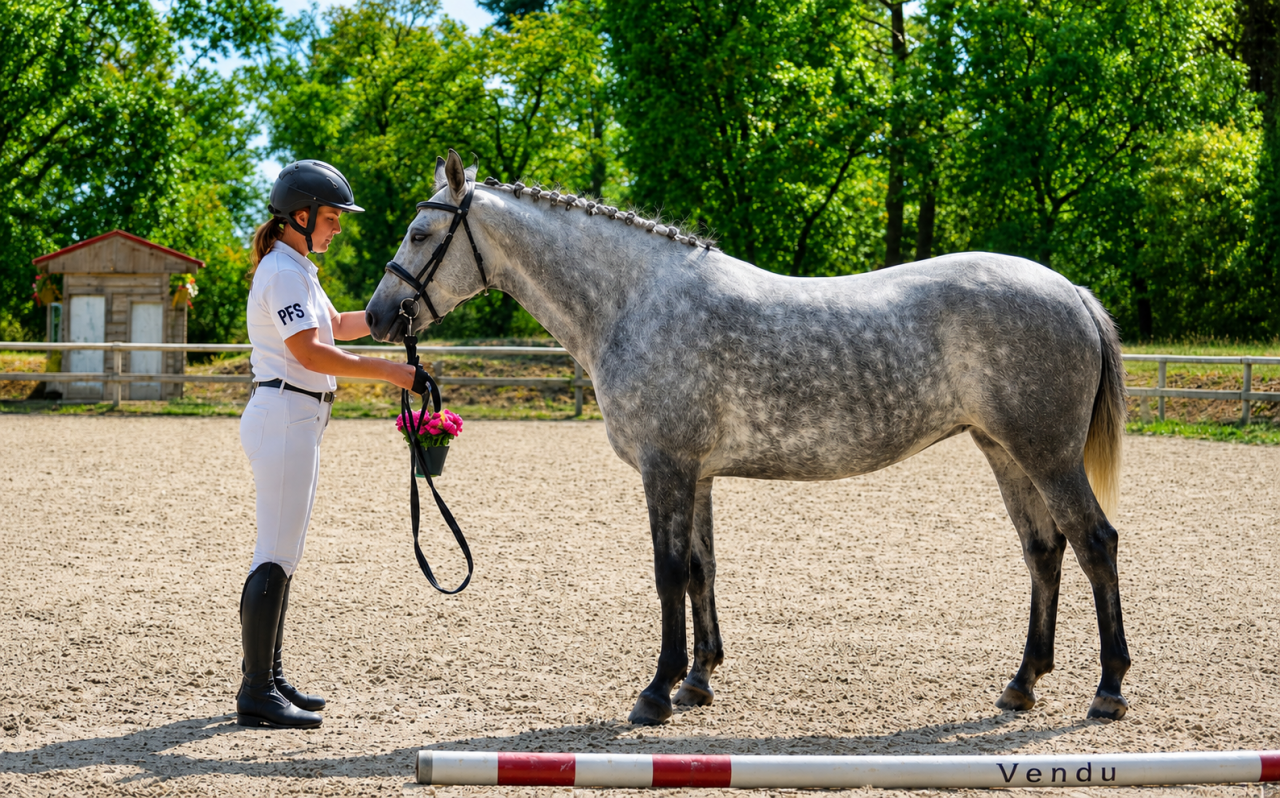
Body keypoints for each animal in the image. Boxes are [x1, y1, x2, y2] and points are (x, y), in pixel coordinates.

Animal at [364, 150, 1131, 726]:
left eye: (422, 235)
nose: (377, 314)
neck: (635, 302)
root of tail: (1072, 292)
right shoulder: (697, 473)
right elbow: (703, 569)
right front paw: (697, 682)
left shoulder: (665, 468)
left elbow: (668, 573)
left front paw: (656, 692)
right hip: (1004, 451)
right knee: (1044, 552)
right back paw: (1022, 683)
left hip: (1047, 456)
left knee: (1094, 543)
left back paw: (1109, 689)